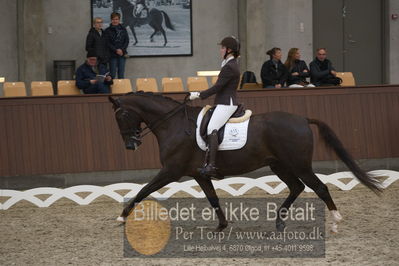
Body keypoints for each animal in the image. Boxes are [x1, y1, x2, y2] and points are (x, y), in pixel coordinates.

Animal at [108, 92, 382, 233]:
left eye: (121, 115)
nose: (131, 145)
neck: (173, 124)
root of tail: (303, 119)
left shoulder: (170, 171)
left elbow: (143, 190)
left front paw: (122, 217)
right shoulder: (198, 174)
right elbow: (213, 198)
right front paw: (221, 225)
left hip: (299, 164)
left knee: (319, 187)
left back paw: (335, 221)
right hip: (279, 165)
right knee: (297, 187)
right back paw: (279, 221)